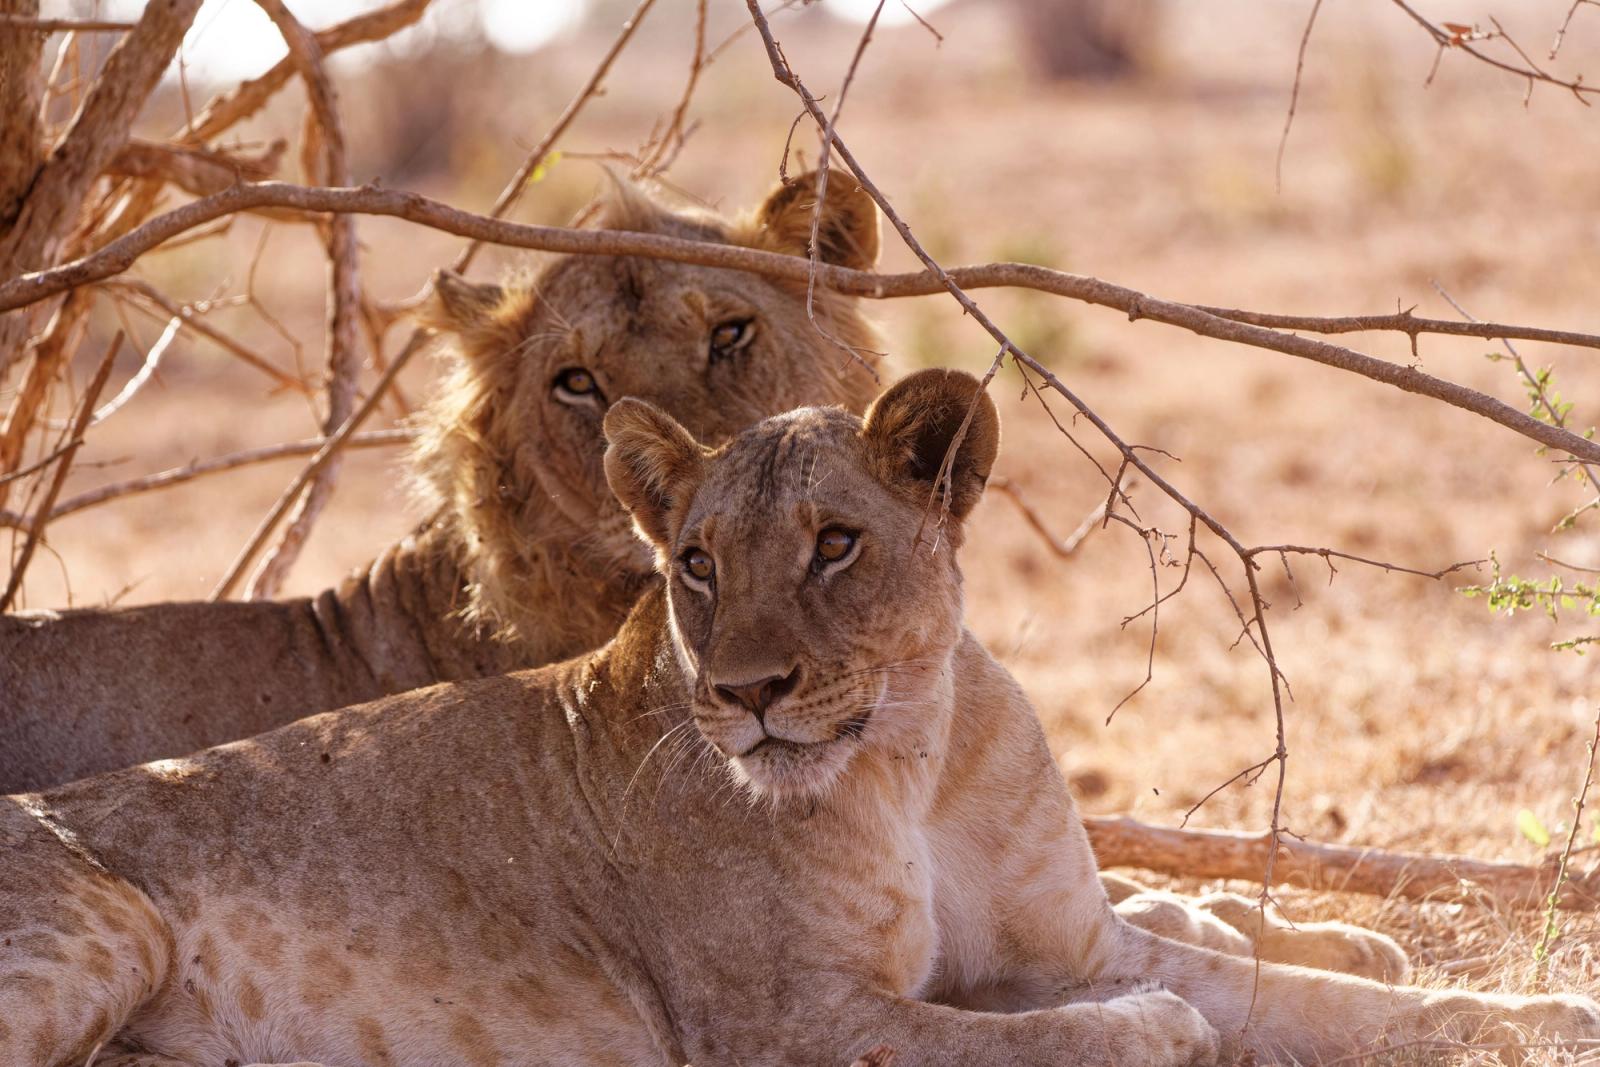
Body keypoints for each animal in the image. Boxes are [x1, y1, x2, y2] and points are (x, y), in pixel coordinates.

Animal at [2, 369, 1592, 1067]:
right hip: (102, 933)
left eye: (834, 543)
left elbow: (1329, 999)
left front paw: (1539, 1012)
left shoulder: (1070, 938)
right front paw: (1157, 1031)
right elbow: (1027, 1043)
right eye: (697, 561)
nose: (747, 693)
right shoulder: (781, 1020)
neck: (914, 755)